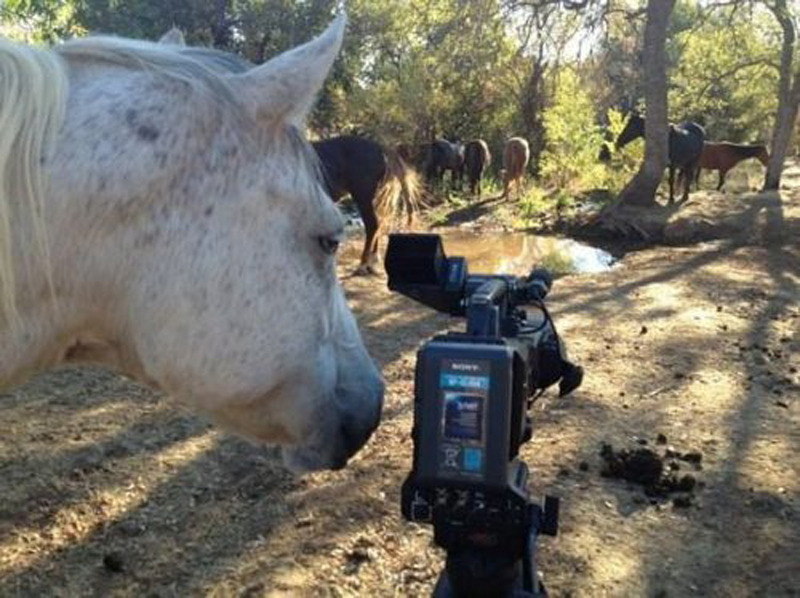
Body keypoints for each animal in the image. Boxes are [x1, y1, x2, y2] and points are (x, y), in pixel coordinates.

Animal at [314, 137, 422, 276]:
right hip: (373, 198)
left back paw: (363, 264)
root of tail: (379, 148)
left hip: (362, 196)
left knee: (372, 225)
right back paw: (373, 260)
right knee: (377, 223)